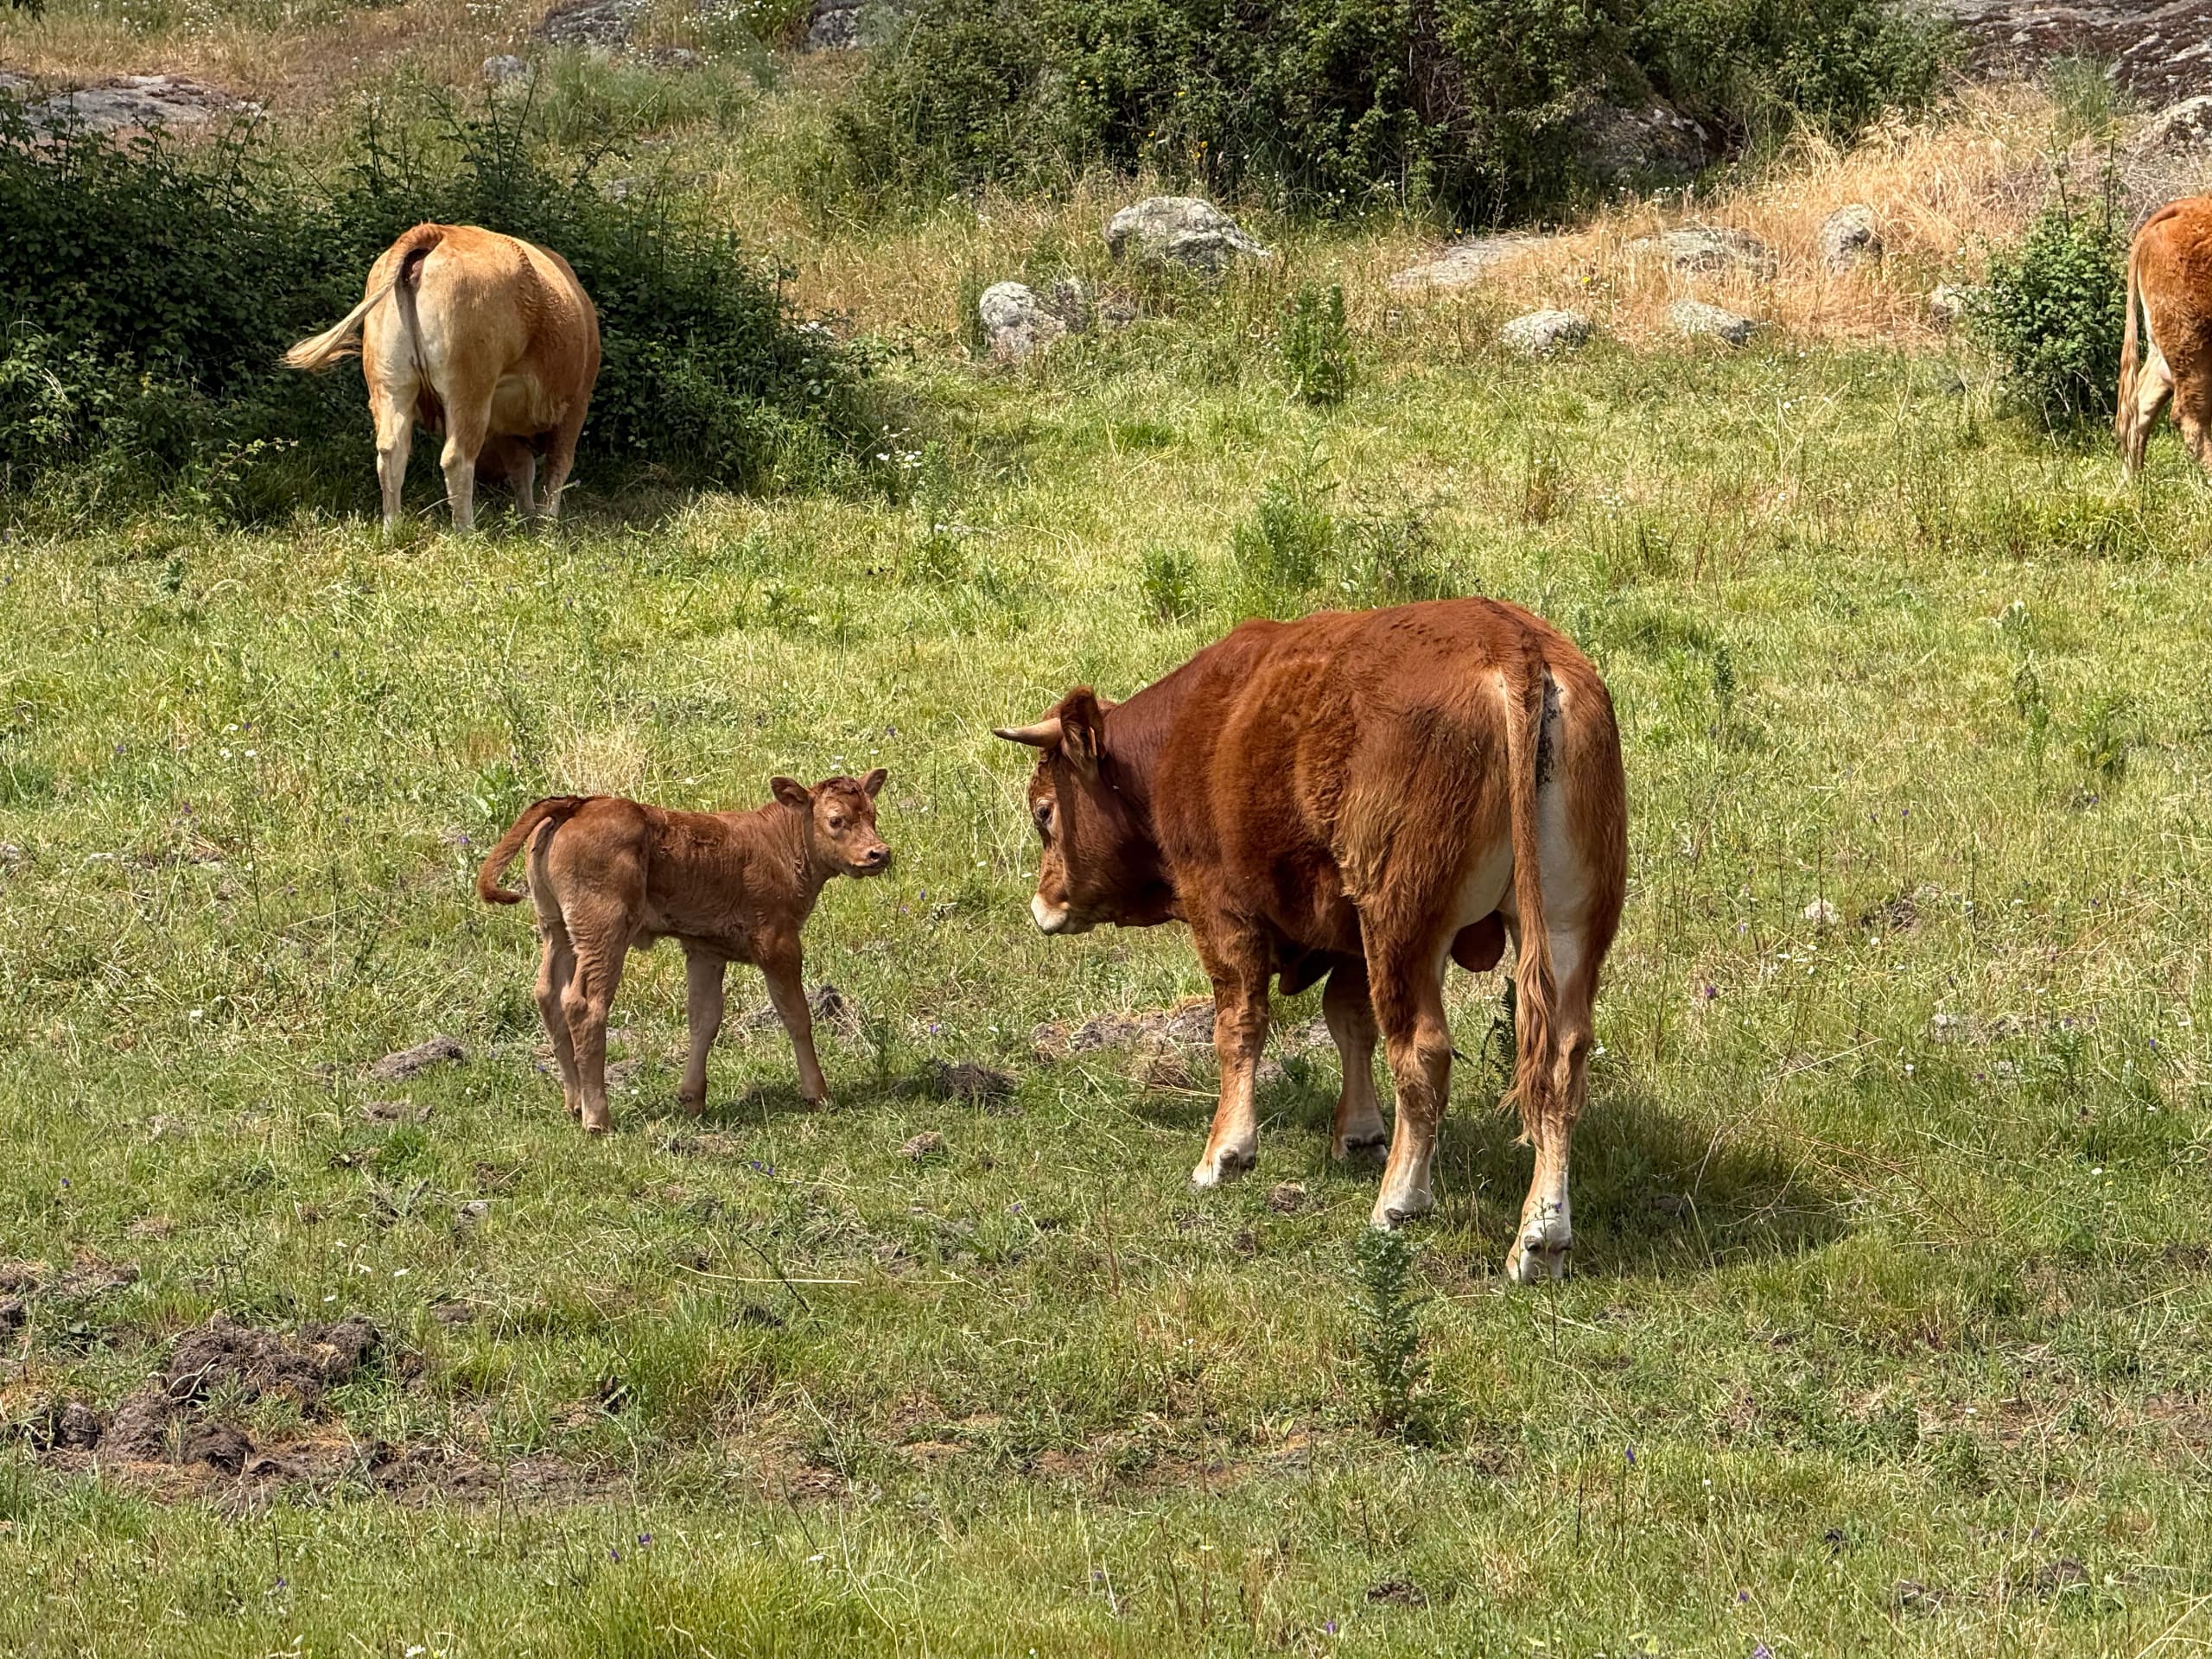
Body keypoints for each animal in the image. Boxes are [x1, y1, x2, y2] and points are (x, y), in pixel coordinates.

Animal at [284, 223, 601, 532]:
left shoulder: (506, 428)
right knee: (457, 458)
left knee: (391, 451)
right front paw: (547, 524)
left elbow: (522, 469)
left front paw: (529, 518)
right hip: (469, 391)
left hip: (390, 384)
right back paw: (466, 533)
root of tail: (439, 231)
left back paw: (392, 528)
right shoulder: (575, 405)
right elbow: (556, 467)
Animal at [476, 772, 892, 1133]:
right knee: (583, 1004)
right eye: (836, 820)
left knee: (547, 994)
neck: (779, 841)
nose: (879, 853)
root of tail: (578, 804)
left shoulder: (705, 949)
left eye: (873, 814)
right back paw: (597, 1117)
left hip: (556, 927)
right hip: (603, 928)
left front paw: (692, 1098)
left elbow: (704, 1019)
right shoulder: (779, 942)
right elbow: (796, 1015)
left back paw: (574, 1103)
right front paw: (817, 1093)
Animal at [996, 599, 1627, 1283]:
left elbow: (1239, 1025)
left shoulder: (1222, 909)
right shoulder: (1348, 935)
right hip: (1566, 925)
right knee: (1562, 1060)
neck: (1188, 735)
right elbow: (1350, 1021)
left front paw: (1226, 1151)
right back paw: (1541, 1236)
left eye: (1044, 811)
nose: (1044, 903)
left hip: (1401, 924)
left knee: (1423, 1052)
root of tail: (1511, 639)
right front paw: (1358, 1131)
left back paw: (1400, 1200)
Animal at [2118, 197, 2212, 478]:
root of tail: (2185, 207)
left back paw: (2131, 481)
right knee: (2189, 417)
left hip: (2166, 346)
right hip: (2192, 346)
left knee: (2139, 404)